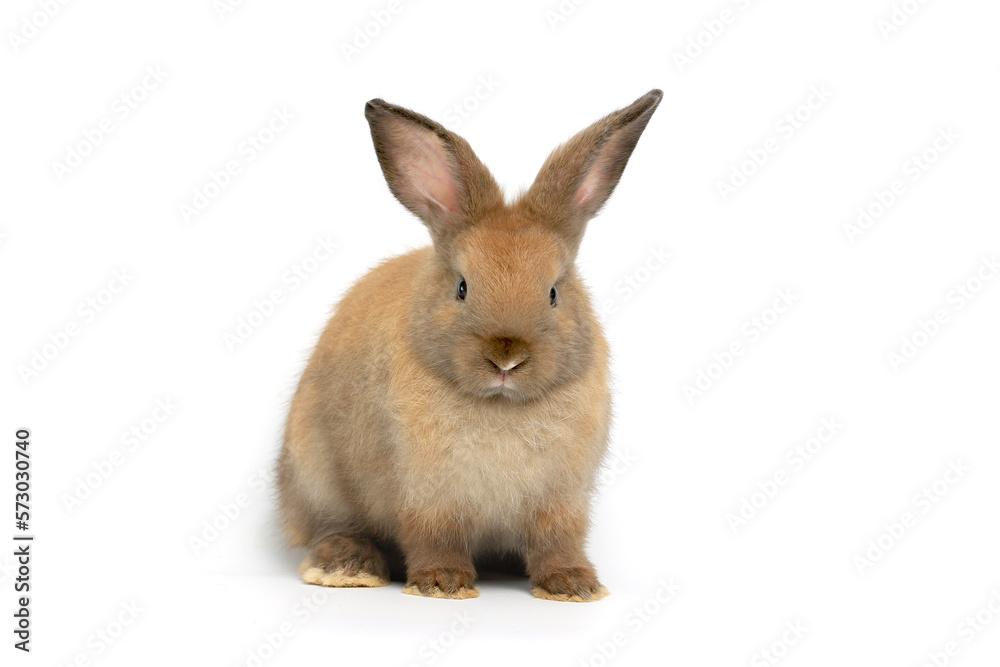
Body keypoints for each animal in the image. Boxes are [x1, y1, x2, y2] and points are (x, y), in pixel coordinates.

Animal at [277, 89, 662, 602]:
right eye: (462, 287)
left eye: (554, 292)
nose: (507, 356)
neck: (500, 406)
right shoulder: (427, 496)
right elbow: (433, 537)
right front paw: (442, 584)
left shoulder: (561, 502)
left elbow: (557, 543)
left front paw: (573, 586)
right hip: (316, 476)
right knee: (331, 528)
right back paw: (347, 568)